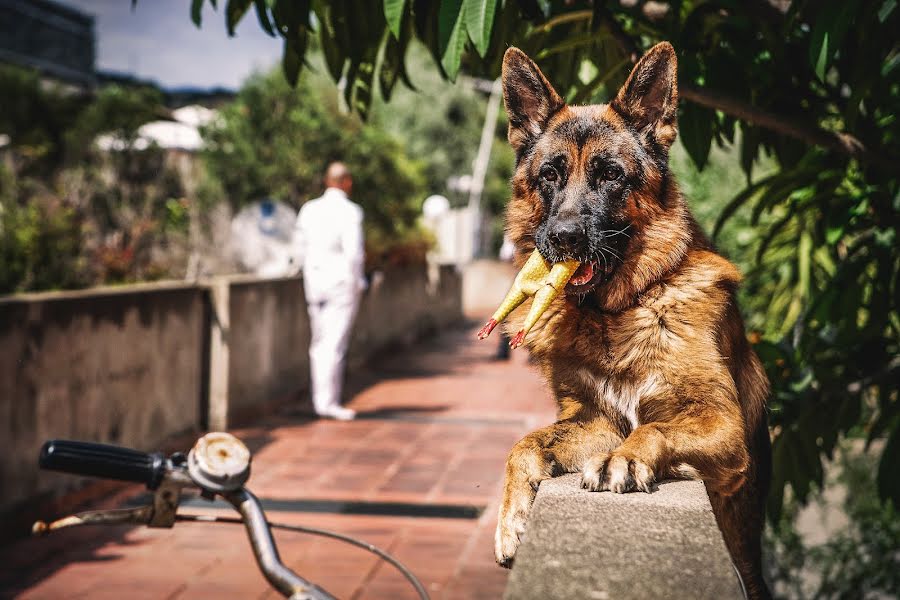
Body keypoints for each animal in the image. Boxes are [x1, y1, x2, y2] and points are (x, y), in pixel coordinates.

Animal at [496, 43, 768, 600]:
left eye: (611, 175)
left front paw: (625, 458)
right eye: (549, 175)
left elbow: (655, 427)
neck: (615, 315)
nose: (563, 238)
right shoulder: (593, 419)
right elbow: (527, 442)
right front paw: (511, 520)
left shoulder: (722, 424)